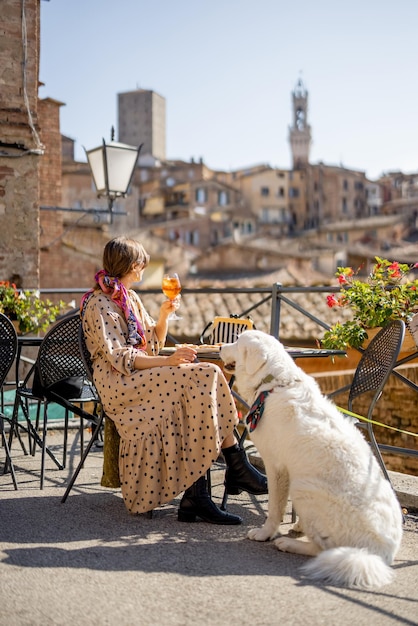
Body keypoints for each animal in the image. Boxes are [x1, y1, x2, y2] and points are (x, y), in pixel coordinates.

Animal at [220, 330, 404, 588]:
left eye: (237, 342)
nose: (220, 346)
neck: (272, 385)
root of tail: (379, 556)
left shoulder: (276, 467)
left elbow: (275, 508)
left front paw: (265, 534)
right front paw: (297, 525)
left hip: (303, 488)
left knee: (323, 550)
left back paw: (289, 544)